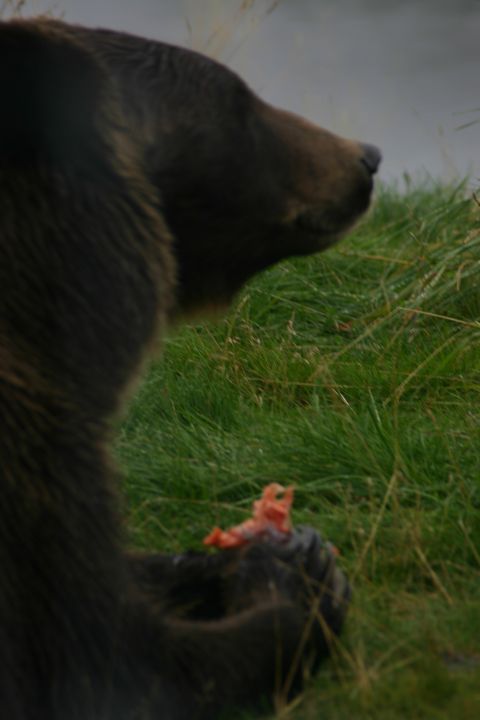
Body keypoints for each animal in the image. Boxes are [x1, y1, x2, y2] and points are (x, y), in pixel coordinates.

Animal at [0, 17, 380, 720]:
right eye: (239, 101)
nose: (366, 155)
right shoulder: (35, 479)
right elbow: (126, 665)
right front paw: (299, 581)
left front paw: (242, 554)